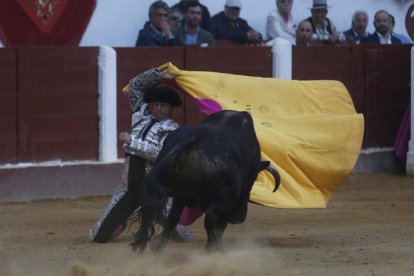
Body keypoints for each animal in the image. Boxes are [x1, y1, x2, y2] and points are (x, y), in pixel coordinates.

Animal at [132, 109, 282, 252]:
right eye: (254, 179)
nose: (239, 218)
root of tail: (195, 142)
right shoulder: (227, 202)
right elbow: (220, 226)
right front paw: (217, 247)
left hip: (176, 194)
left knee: (171, 217)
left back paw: (156, 246)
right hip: (224, 200)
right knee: (210, 219)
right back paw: (212, 248)